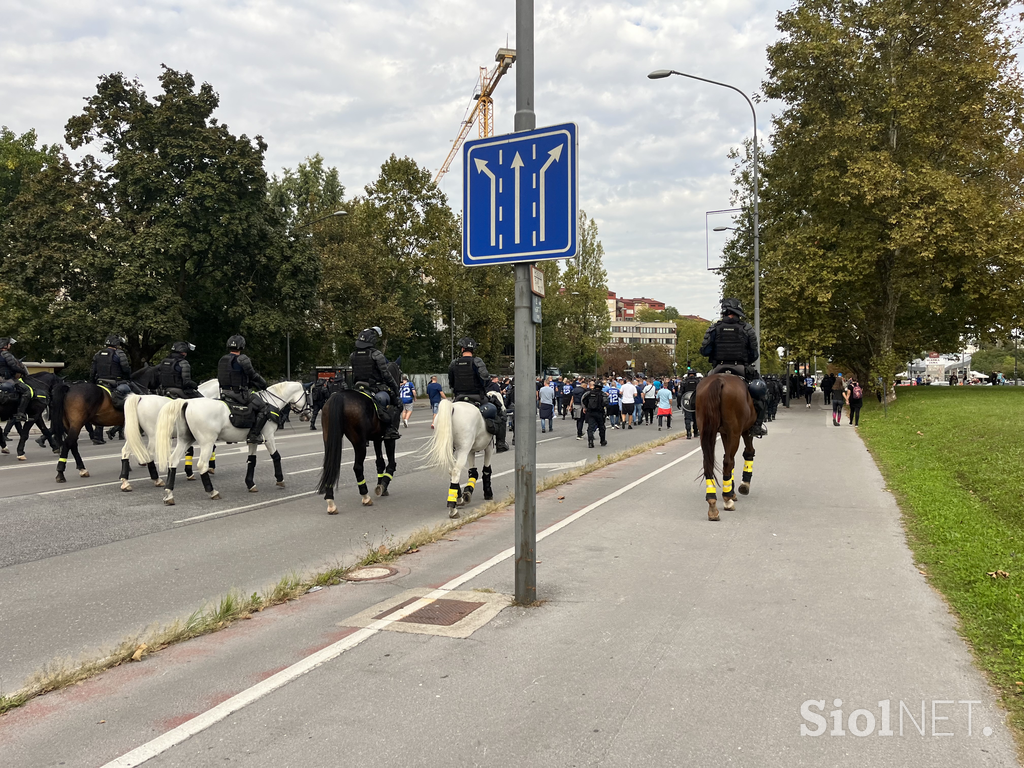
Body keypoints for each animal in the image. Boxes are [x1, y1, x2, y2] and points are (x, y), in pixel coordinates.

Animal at [152, 382, 307, 505]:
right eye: (307, 395)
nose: (307, 414)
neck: (271, 402)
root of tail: (187, 402)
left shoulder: (253, 440)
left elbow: (252, 460)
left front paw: (250, 484)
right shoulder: (268, 436)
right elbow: (276, 456)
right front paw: (280, 479)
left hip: (185, 440)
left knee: (173, 461)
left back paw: (169, 494)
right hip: (207, 442)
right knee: (202, 465)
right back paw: (212, 491)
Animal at [696, 374, 761, 524]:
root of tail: (719, 379)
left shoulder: (725, 434)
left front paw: (732, 490)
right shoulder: (745, 431)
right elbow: (748, 453)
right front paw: (743, 486)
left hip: (706, 431)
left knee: (709, 464)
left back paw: (712, 504)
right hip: (735, 432)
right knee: (728, 462)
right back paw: (727, 500)